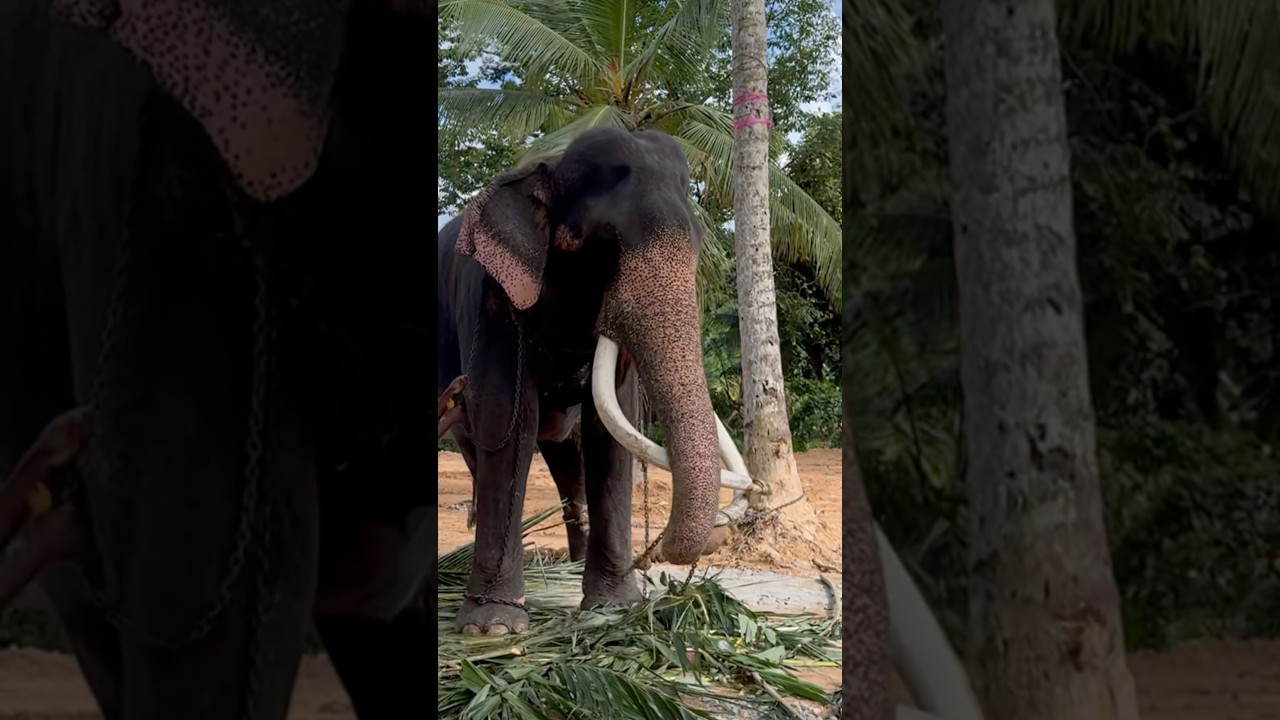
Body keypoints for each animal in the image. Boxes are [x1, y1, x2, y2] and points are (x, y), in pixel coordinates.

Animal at [437, 126, 727, 636]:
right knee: (480, 448)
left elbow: (611, 430)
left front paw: (614, 609)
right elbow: (508, 419)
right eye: (599, 245)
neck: (545, 168)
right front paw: (492, 627)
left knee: (567, 454)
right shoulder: (494, 297)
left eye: (695, 246)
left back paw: (570, 568)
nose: (656, 557)